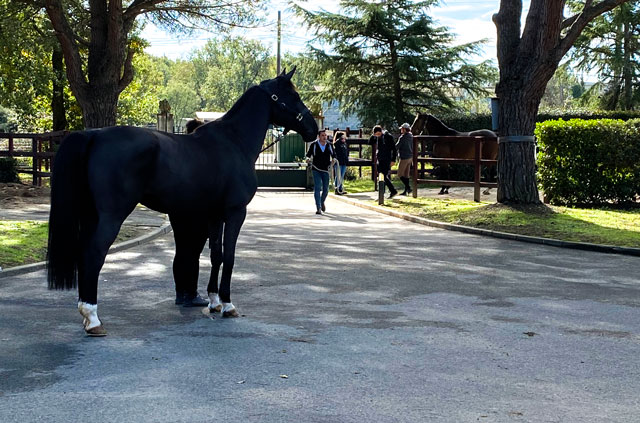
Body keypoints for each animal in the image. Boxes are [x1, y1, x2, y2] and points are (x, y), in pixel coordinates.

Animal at [47, 68, 318, 336]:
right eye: (293, 96)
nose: (314, 129)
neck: (234, 142)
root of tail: (94, 135)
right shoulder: (235, 212)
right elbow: (229, 256)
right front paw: (228, 304)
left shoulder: (214, 215)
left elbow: (216, 255)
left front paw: (214, 301)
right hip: (112, 215)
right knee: (94, 253)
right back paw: (93, 318)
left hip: (91, 215)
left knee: (84, 253)